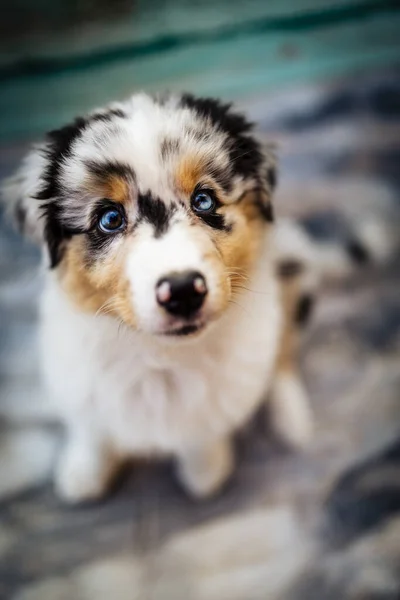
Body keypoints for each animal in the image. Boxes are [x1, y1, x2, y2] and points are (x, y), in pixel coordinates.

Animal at [3, 92, 316, 502]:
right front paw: (84, 475)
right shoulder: (79, 383)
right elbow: (92, 431)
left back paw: (294, 421)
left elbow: (204, 428)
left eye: (204, 200)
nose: (183, 291)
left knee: (283, 352)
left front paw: (205, 471)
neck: (159, 355)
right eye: (109, 219)